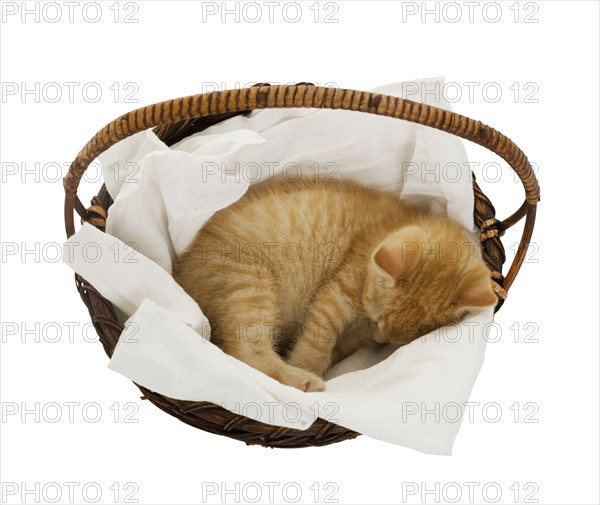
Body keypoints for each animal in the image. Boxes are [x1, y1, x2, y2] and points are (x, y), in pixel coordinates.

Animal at [172, 179, 496, 392]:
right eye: (378, 319)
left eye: (398, 339)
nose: (379, 338)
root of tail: (180, 271)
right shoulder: (335, 295)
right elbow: (317, 342)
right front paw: (309, 366)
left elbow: (339, 347)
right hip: (249, 282)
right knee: (244, 351)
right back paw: (301, 380)